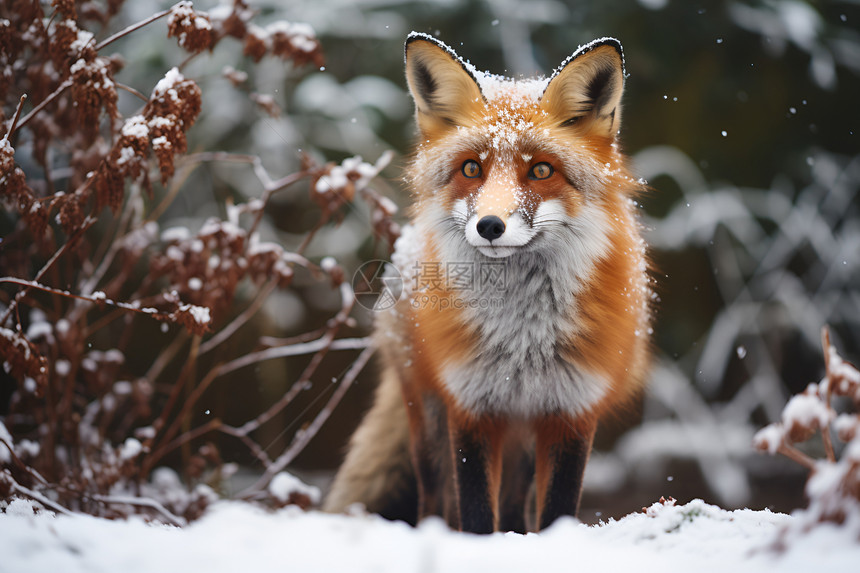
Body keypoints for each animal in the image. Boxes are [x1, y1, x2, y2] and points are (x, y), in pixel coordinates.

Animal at [324, 33, 652, 536]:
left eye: (541, 170)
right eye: (471, 169)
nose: (490, 226)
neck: (522, 338)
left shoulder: (571, 411)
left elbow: (556, 509)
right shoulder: (471, 406)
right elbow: (476, 512)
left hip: (522, 438)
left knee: (515, 507)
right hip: (428, 418)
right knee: (434, 498)